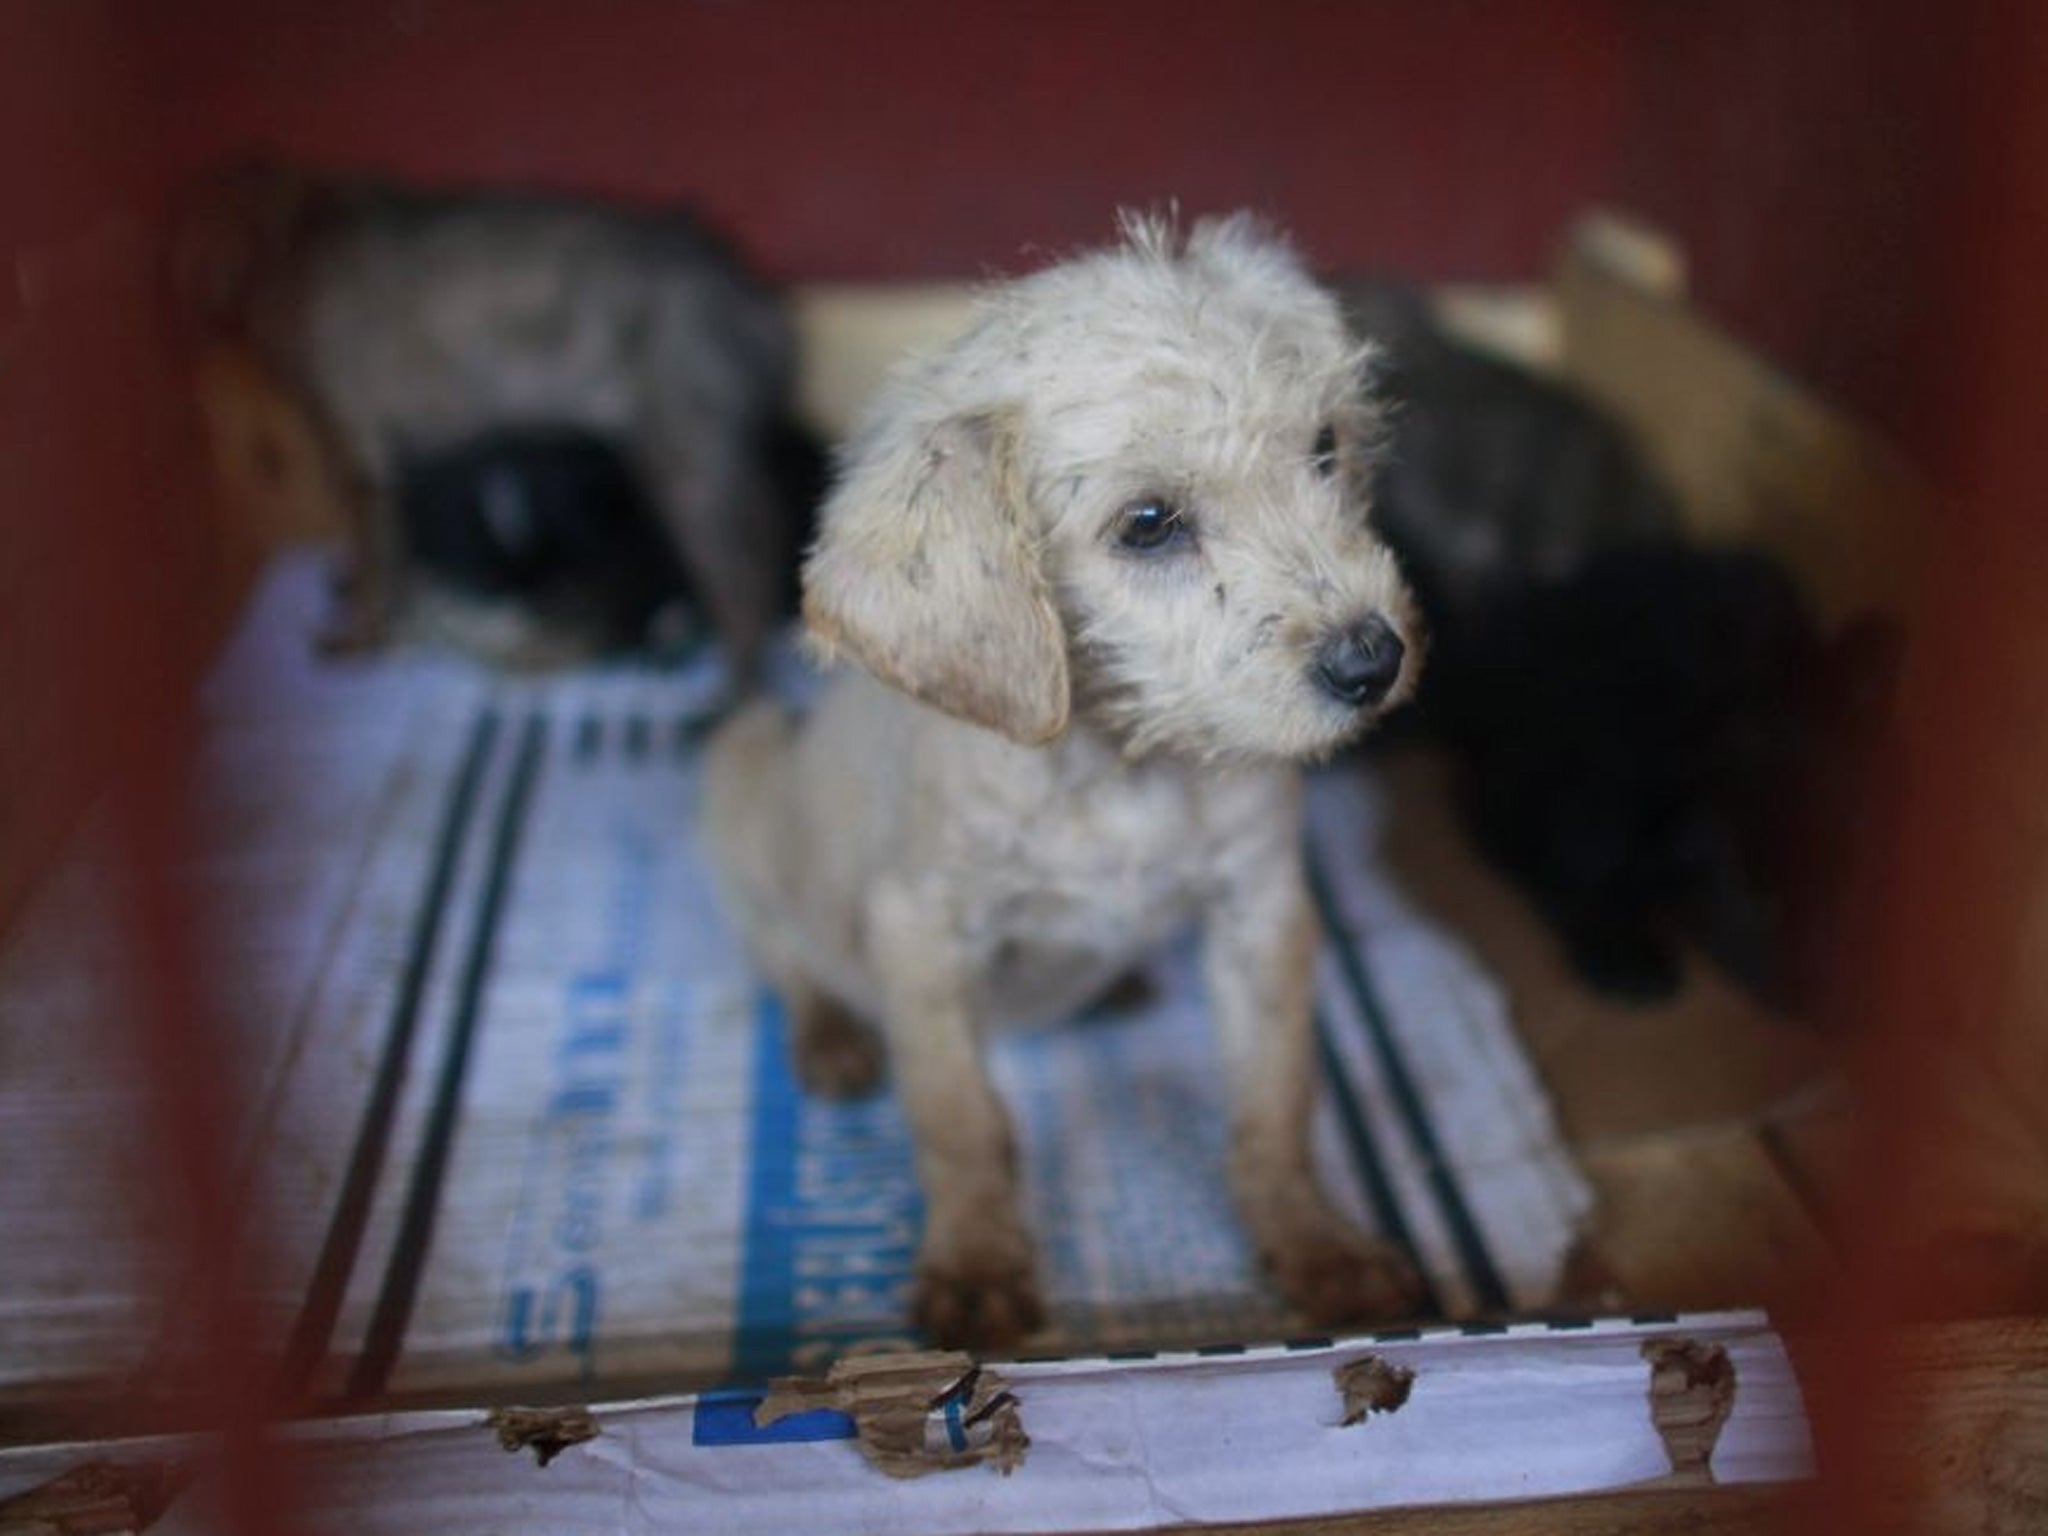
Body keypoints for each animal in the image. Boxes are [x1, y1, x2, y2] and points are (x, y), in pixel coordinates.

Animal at [704, 214, 1425, 1343]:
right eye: (1148, 523)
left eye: (1323, 449)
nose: (1374, 662)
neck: (1117, 766)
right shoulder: (921, 933)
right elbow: (960, 1118)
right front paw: (975, 1269)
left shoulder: (1261, 909)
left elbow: (1276, 1100)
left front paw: (1319, 1247)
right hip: (736, 775)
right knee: (782, 956)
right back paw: (829, 1041)